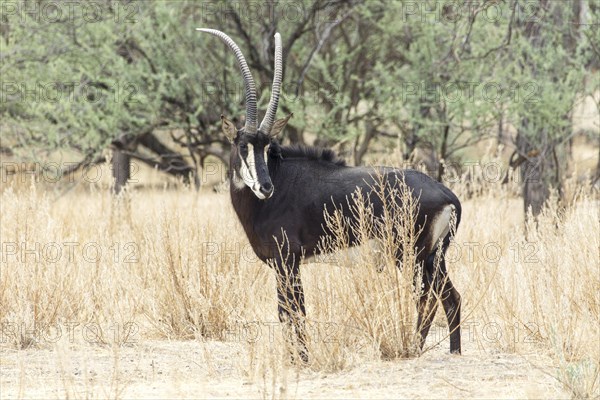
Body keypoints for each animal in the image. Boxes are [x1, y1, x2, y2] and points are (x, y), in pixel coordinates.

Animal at [199, 27, 462, 360]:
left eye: (268, 146)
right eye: (243, 145)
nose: (265, 188)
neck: (279, 178)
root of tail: (446, 195)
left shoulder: (288, 260)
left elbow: (293, 311)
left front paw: (301, 359)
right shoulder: (285, 264)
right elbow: (289, 311)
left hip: (413, 256)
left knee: (426, 300)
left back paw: (414, 349)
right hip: (433, 258)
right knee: (451, 298)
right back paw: (454, 353)